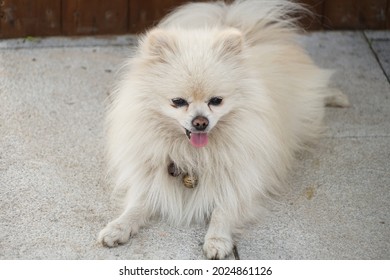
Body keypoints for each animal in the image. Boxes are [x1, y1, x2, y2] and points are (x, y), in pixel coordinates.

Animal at [99, 0, 348, 260]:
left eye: (216, 101)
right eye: (178, 102)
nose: (200, 122)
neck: (193, 153)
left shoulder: (239, 178)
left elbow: (224, 210)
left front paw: (217, 240)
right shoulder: (150, 175)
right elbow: (137, 205)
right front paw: (118, 227)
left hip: (306, 106)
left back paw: (337, 97)